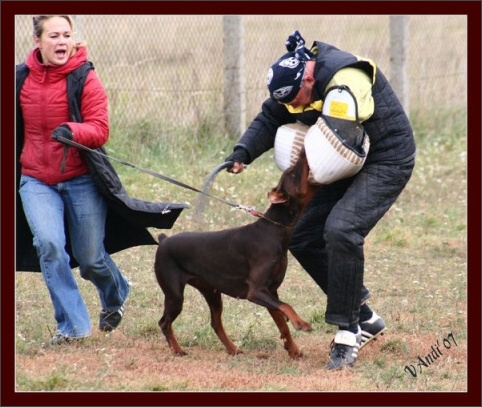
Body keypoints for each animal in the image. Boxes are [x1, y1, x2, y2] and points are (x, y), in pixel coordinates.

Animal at [154, 148, 318, 358]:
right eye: (292, 173)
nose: (303, 151)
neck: (275, 229)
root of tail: (163, 240)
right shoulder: (256, 291)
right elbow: (286, 306)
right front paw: (300, 323)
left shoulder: (271, 290)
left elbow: (282, 324)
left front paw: (293, 350)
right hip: (174, 294)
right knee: (164, 322)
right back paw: (177, 349)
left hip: (212, 293)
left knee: (215, 323)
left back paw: (233, 349)